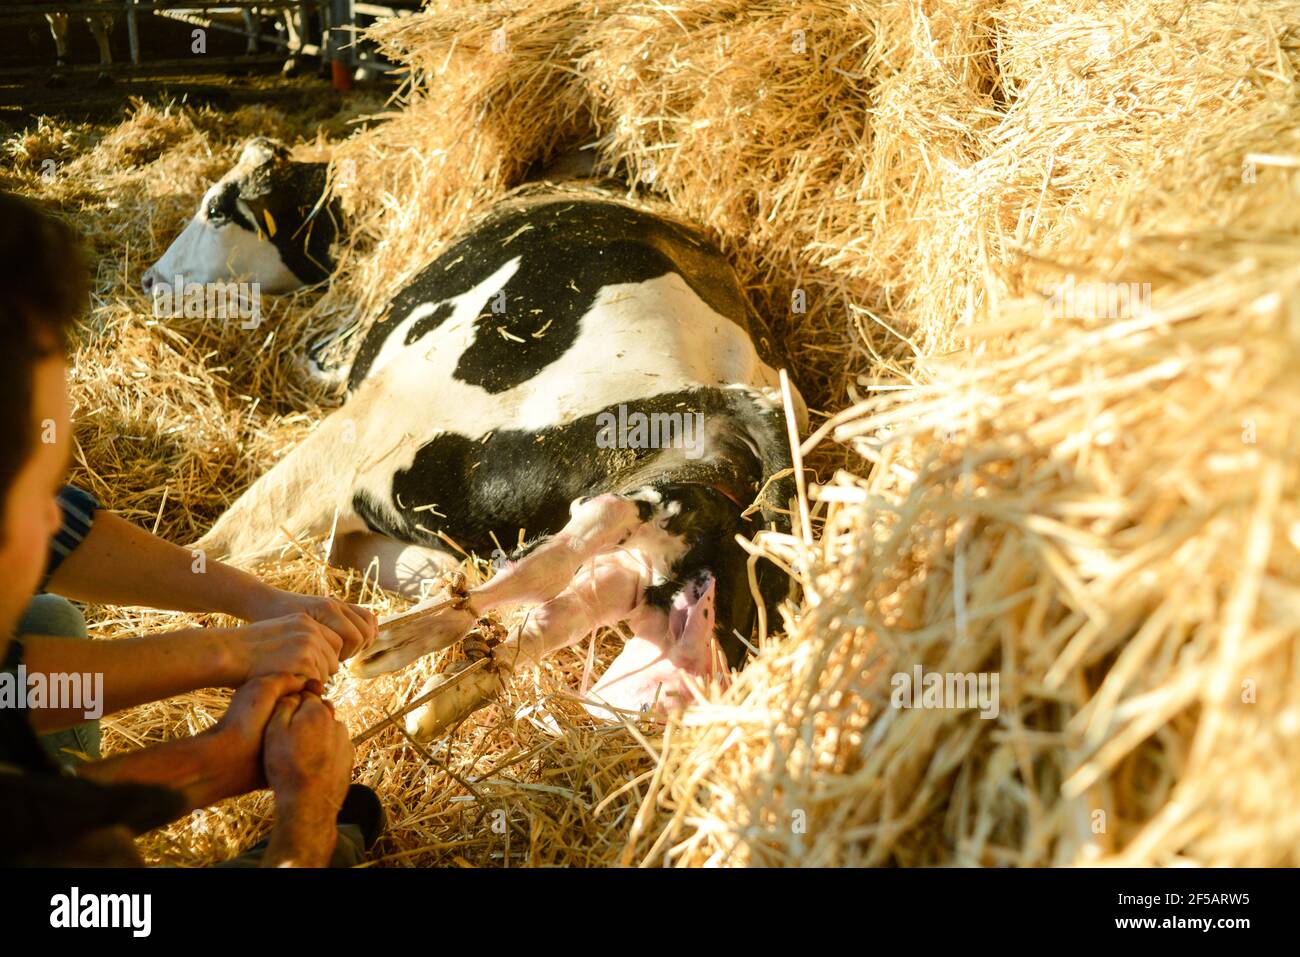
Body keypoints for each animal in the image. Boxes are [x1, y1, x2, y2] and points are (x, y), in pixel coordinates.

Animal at [150, 139, 805, 735]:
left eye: (216, 206)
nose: (152, 278)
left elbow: (222, 546)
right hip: (658, 522)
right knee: (582, 570)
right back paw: (455, 675)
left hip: (414, 437)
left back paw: (400, 645)